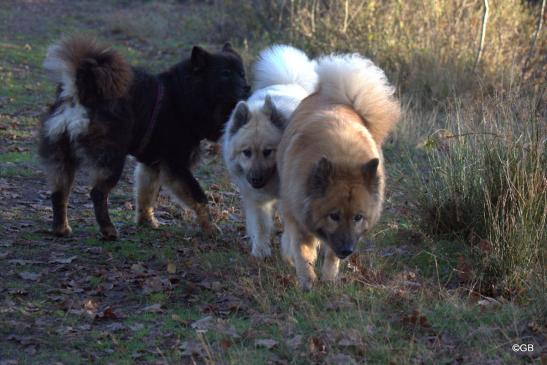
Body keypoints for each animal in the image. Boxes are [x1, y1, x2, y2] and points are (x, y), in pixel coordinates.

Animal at [39, 37, 249, 239]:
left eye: (242, 73)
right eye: (225, 74)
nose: (247, 89)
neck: (182, 97)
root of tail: (79, 93)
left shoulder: (152, 165)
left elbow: (146, 196)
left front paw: (146, 222)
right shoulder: (176, 165)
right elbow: (199, 197)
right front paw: (211, 228)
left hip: (62, 158)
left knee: (59, 194)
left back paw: (61, 228)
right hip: (112, 160)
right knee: (97, 193)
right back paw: (108, 229)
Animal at [222, 44, 316, 256]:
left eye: (267, 151)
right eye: (246, 152)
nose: (255, 179)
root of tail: (287, 82)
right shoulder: (255, 199)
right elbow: (260, 225)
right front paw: (260, 251)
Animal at [280, 52, 400, 288]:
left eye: (358, 217)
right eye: (333, 216)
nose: (347, 250)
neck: (342, 161)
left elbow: (330, 255)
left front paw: (328, 278)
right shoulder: (297, 215)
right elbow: (302, 253)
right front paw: (307, 282)